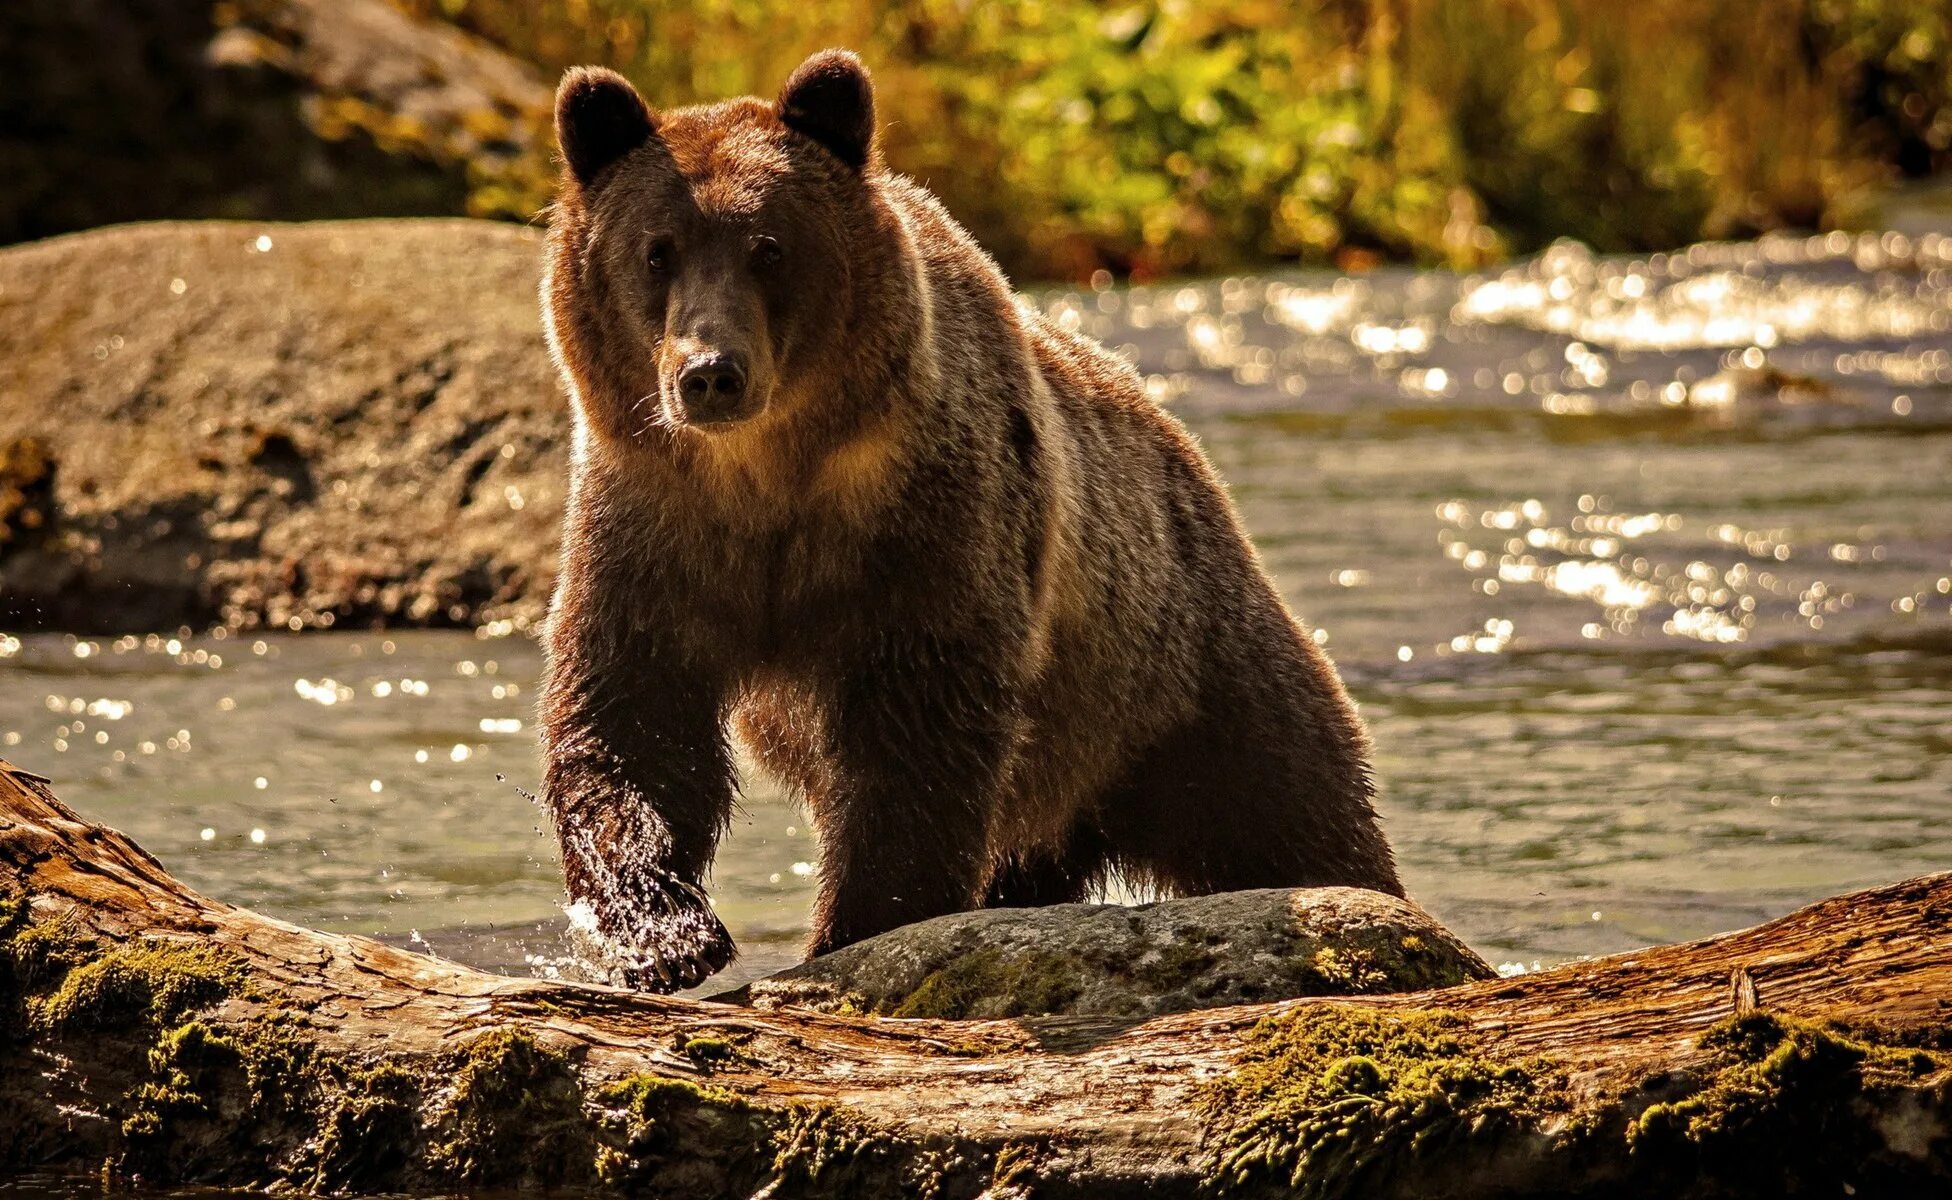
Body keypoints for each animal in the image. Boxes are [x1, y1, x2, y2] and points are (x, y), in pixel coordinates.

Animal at [534, 49, 1405, 995]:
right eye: (656, 251)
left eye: (769, 247)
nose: (710, 373)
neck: (768, 477)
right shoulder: (653, 524)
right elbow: (632, 714)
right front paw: (663, 932)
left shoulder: (928, 526)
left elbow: (917, 735)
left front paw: (855, 926)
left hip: (1178, 667)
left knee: (1289, 805)